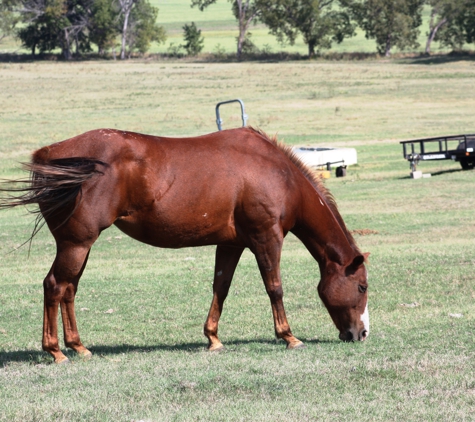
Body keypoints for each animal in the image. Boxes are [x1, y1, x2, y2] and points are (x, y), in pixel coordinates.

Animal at [0, 127, 370, 364]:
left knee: (68, 290)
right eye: (363, 286)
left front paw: (213, 339)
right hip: (76, 244)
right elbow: (274, 287)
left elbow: (221, 287)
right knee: (54, 286)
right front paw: (289, 336)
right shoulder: (267, 238)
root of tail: (50, 155)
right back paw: (55, 351)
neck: (278, 173)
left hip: (80, 247)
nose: (361, 334)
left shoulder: (231, 244)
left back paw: (78, 347)